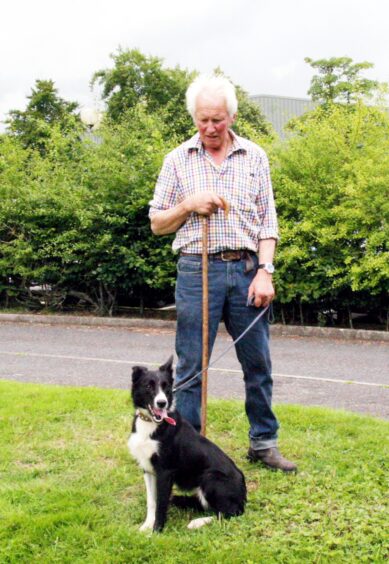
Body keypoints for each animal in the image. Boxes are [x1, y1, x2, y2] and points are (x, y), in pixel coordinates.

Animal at [128, 356, 246, 532]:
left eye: (166, 387)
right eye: (148, 386)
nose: (162, 403)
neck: (151, 424)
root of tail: (244, 492)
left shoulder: (165, 472)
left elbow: (161, 504)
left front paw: (157, 530)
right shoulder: (148, 469)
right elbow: (152, 502)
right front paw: (147, 525)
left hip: (210, 477)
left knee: (229, 513)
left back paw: (198, 522)